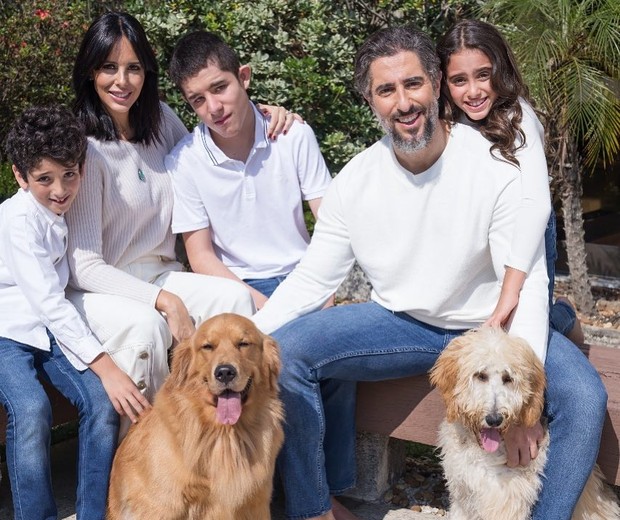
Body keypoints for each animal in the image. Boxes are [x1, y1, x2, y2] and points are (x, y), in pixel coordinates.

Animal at [106, 312, 284, 520]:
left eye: (243, 344)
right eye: (207, 346)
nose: (225, 372)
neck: (224, 433)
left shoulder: (257, 502)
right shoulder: (162, 505)